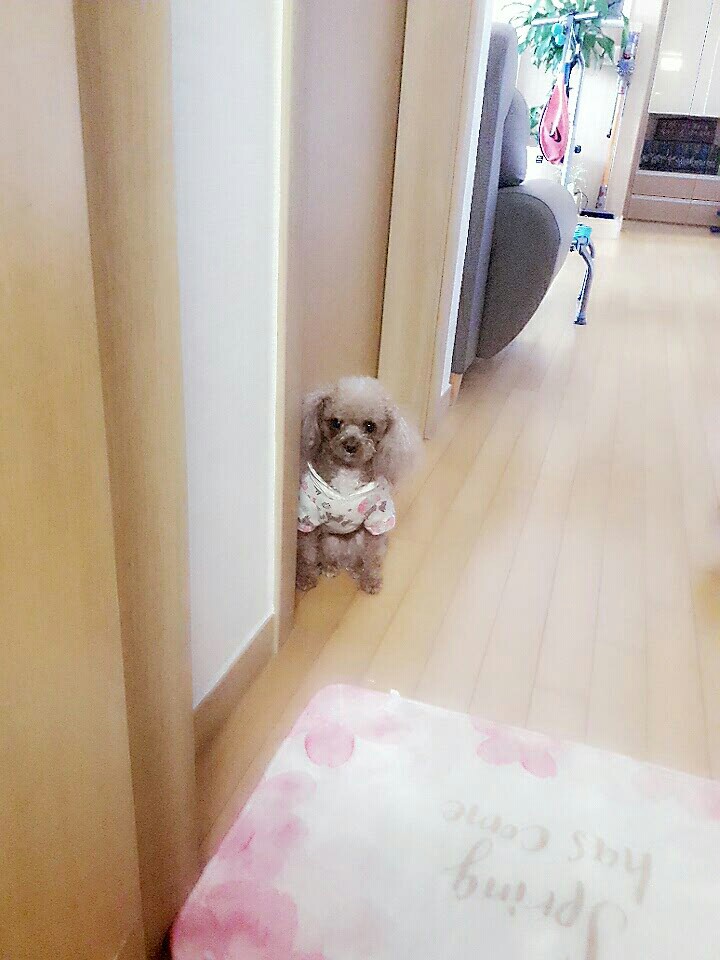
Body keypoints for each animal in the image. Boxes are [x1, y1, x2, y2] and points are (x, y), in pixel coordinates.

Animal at [296, 376, 420, 594]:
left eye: (370, 426)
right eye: (335, 423)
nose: (350, 446)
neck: (347, 472)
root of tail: (344, 556)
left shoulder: (378, 519)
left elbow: (373, 557)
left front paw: (371, 581)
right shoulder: (308, 517)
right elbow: (307, 553)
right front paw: (306, 578)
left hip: (362, 541)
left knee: (363, 557)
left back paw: (355, 569)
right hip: (328, 541)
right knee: (324, 557)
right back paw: (329, 567)